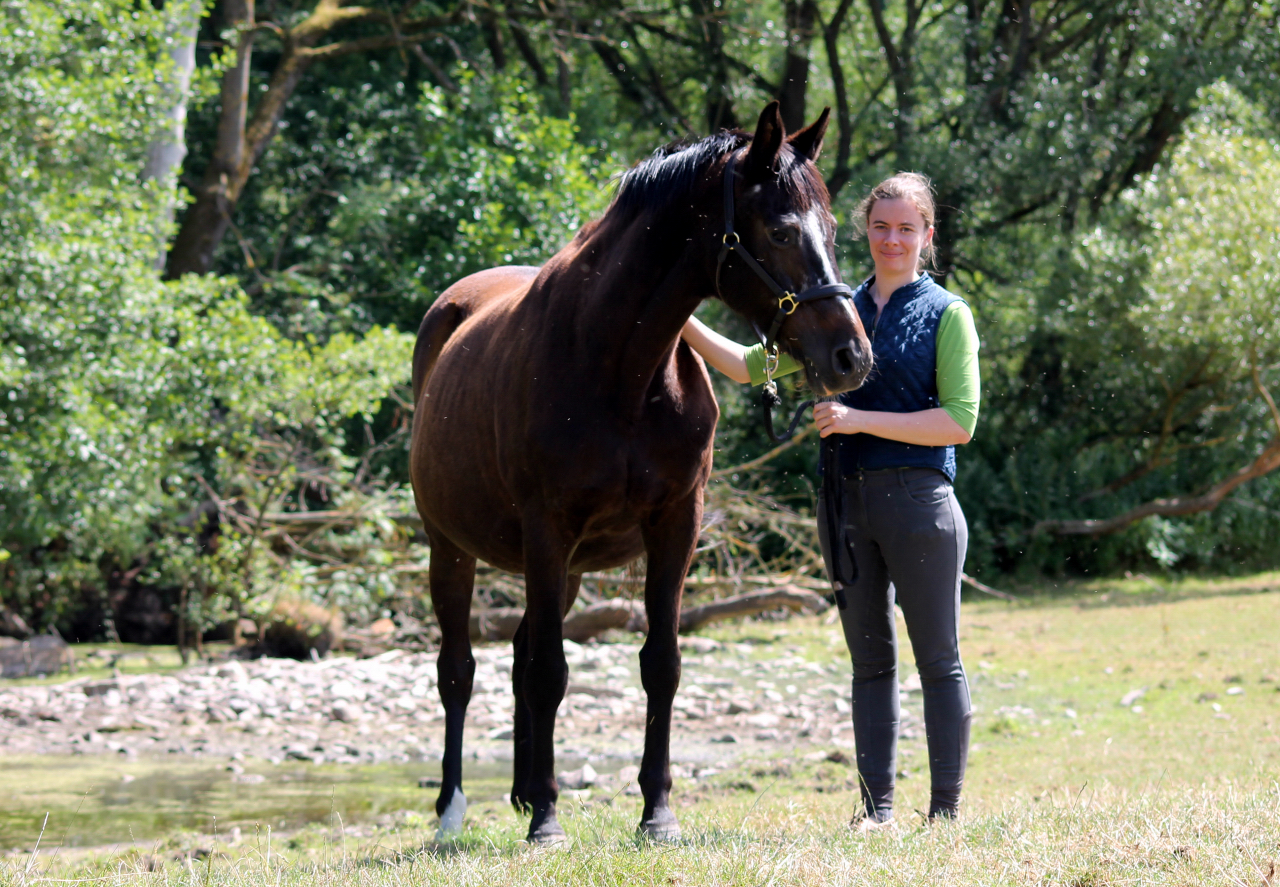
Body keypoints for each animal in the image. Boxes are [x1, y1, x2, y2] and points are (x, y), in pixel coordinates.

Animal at [409, 100, 870, 839]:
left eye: (829, 229)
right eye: (779, 229)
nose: (851, 356)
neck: (619, 367)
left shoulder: (674, 524)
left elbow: (660, 664)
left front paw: (655, 812)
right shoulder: (546, 529)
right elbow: (549, 671)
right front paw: (548, 823)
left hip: (564, 570)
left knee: (517, 653)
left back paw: (521, 791)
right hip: (450, 547)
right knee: (460, 668)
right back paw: (454, 809)